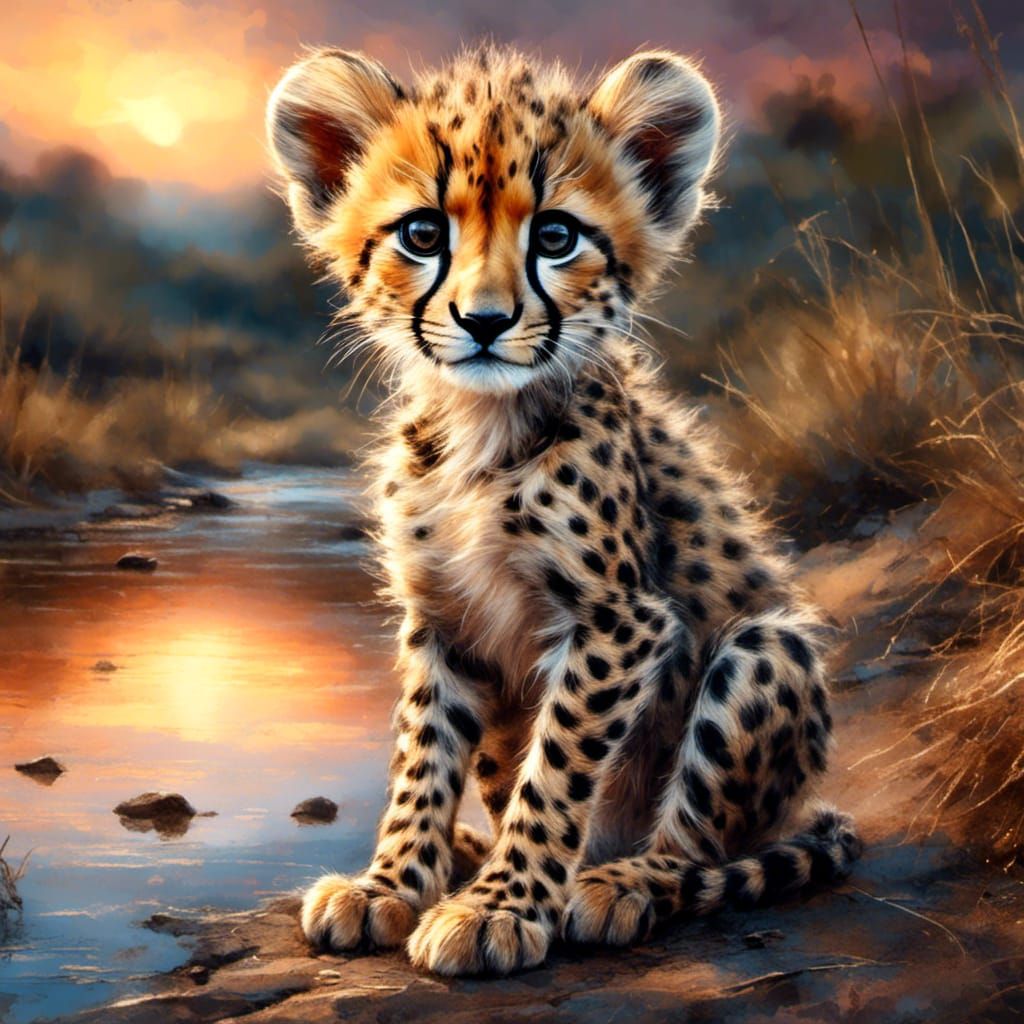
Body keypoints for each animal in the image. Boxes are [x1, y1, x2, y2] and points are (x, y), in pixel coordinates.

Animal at [265, 43, 862, 978]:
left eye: (555, 237)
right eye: (422, 235)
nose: (483, 319)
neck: (479, 428)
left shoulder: (623, 620)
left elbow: (557, 766)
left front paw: (501, 909)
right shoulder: (442, 616)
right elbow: (422, 753)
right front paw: (391, 883)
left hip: (769, 649)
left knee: (697, 844)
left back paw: (615, 883)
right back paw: (466, 856)